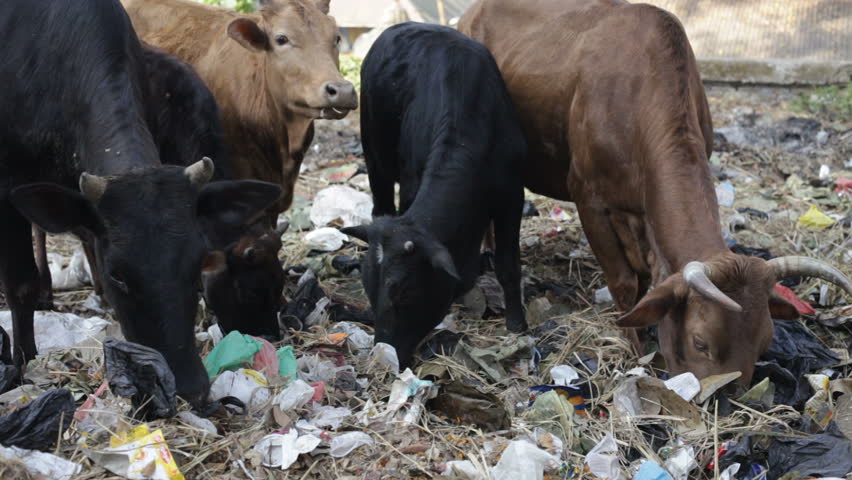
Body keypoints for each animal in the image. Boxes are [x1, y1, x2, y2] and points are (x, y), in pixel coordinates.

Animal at [0, 0, 282, 409]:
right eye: (118, 273)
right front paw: (24, 364)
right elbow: (20, 284)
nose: (187, 388)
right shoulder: (7, 189)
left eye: (195, 265)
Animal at [342, 22, 527, 368]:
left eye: (405, 294)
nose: (384, 354)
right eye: (368, 289)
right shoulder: (411, 182)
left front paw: (517, 323)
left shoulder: (512, 195)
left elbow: (509, 263)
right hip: (375, 156)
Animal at [459, 0, 852, 387]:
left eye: (764, 342)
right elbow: (623, 281)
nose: (724, 401)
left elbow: (648, 282)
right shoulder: (589, 200)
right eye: (700, 342)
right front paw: (634, 346)